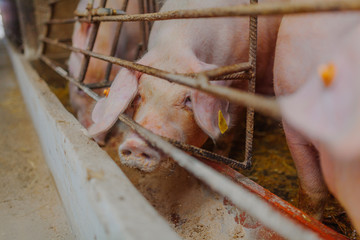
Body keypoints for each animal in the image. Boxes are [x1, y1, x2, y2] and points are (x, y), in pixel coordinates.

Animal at [88, 0, 286, 172]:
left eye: (188, 100)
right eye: (138, 95)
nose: (136, 145)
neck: (175, 43)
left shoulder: (240, 84)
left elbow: (226, 133)